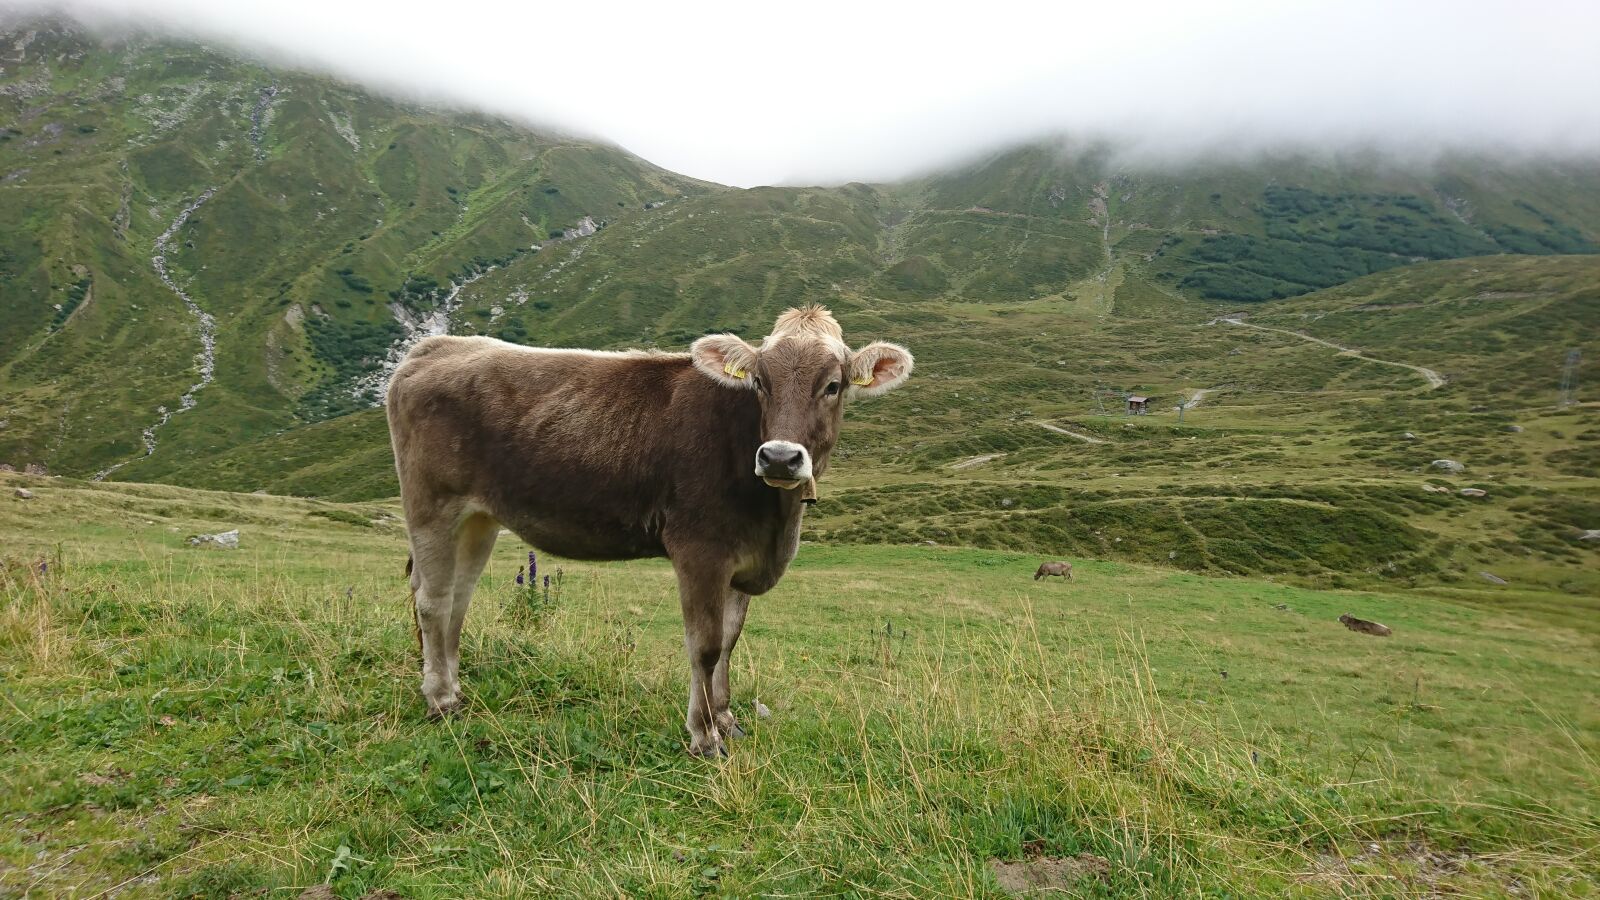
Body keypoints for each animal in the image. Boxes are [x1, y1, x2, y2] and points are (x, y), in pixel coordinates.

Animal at [385, 306, 912, 757]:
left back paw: (455, 689)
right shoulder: (700, 550)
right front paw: (703, 736)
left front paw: (726, 720)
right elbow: (705, 645)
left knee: (458, 597)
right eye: (760, 382)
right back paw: (440, 700)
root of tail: (435, 348)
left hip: (478, 518)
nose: (780, 457)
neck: (775, 523)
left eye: (833, 385)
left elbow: (731, 640)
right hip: (431, 505)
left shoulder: (742, 561)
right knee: (432, 601)